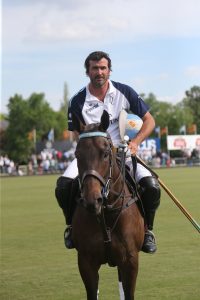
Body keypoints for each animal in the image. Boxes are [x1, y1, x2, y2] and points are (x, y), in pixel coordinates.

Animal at [71, 110, 144, 300]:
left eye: (105, 153)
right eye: (77, 155)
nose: (92, 200)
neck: (106, 212)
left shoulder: (130, 260)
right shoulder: (86, 261)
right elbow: (92, 293)